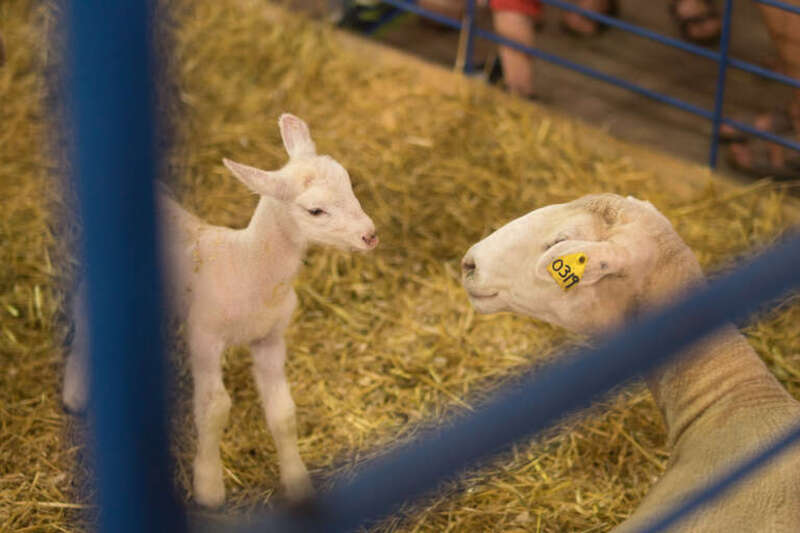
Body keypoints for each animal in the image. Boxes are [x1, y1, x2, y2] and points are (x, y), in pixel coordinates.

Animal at [62, 113, 378, 507]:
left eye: (349, 183)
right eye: (315, 210)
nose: (370, 235)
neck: (248, 266)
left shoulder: (270, 338)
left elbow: (284, 413)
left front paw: (297, 480)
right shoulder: (205, 336)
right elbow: (214, 407)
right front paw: (209, 485)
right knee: (83, 312)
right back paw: (75, 391)